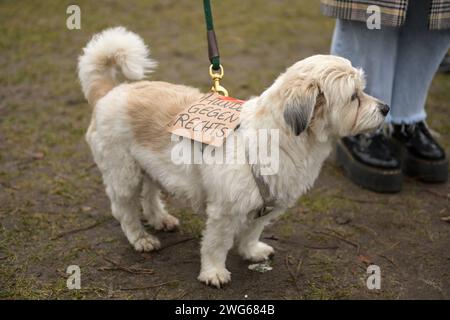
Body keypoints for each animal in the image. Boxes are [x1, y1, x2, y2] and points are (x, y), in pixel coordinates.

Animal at [77, 26, 386, 288]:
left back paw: (160, 219)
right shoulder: (224, 213)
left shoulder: (266, 207)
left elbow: (251, 232)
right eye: (354, 97)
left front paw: (251, 251)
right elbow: (216, 244)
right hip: (124, 175)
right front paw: (213, 272)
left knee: (150, 195)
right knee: (125, 210)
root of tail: (110, 92)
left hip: (151, 168)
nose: (385, 108)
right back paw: (141, 238)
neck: (278, 139)